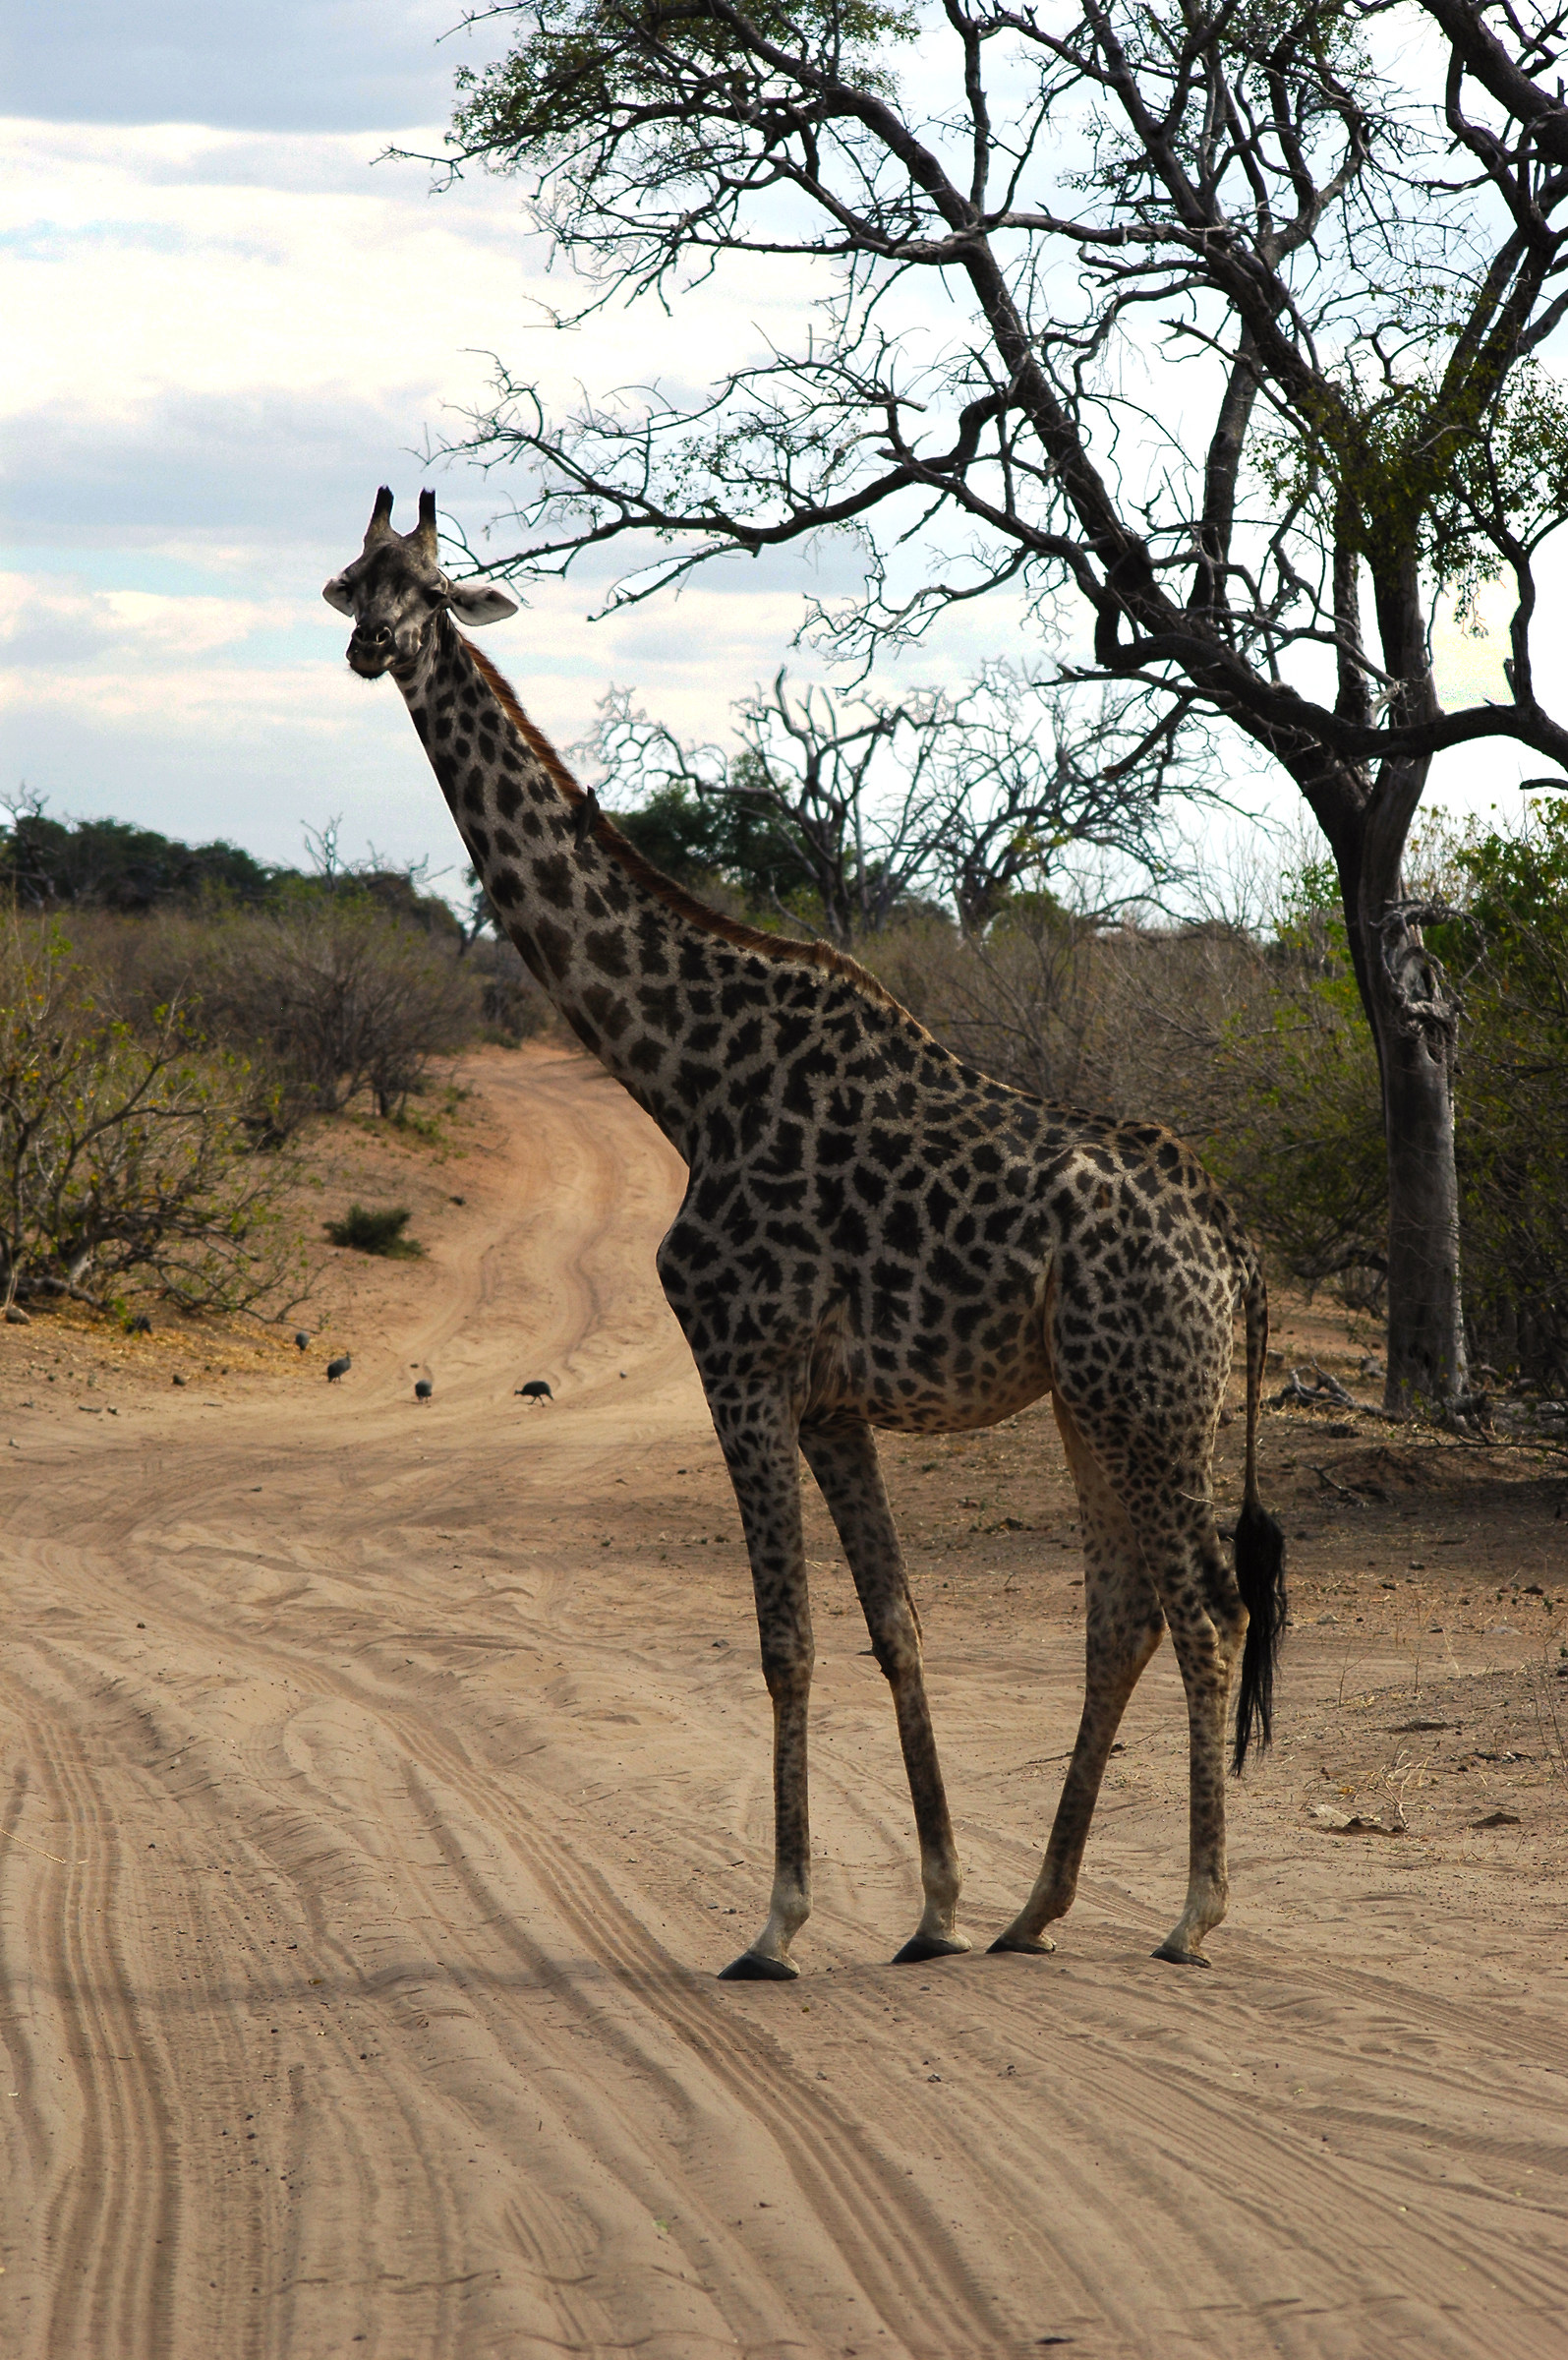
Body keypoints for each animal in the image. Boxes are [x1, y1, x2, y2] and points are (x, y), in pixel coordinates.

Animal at [324, 489, 1287, 1978]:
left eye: (428, 591)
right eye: (353, 579)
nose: (372, 647)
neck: (685, 1078)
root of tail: (1232, 1252)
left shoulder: (742, 1358)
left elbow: (785, 1637)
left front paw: (775, 1922)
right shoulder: (830, 1397)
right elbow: (893, 1624)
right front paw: (934, 1907)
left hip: (1151, 1394)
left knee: (1205, 1602)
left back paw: (1190, 1913)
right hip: (1096, 1398)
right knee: (1121, 1606)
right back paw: (1032, 1910)